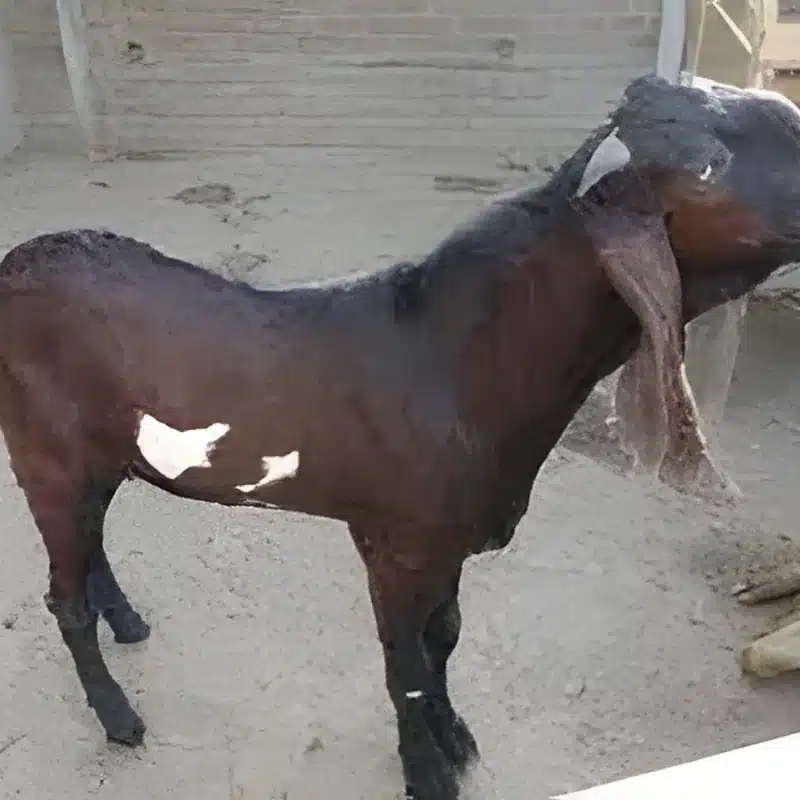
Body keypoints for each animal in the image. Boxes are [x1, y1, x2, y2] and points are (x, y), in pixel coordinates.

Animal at [2, 75, 800, 800]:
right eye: (707, 164)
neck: (452, 359)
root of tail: (19, 261)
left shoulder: (447, 542)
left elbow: (444, 637)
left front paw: (456, 737)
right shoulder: (394, 541)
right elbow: (405, 663)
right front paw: (427, 774)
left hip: (102, 456)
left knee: (92, 543)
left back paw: (128, 620)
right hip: (45, 452)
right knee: (63, 598)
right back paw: (117, 716)